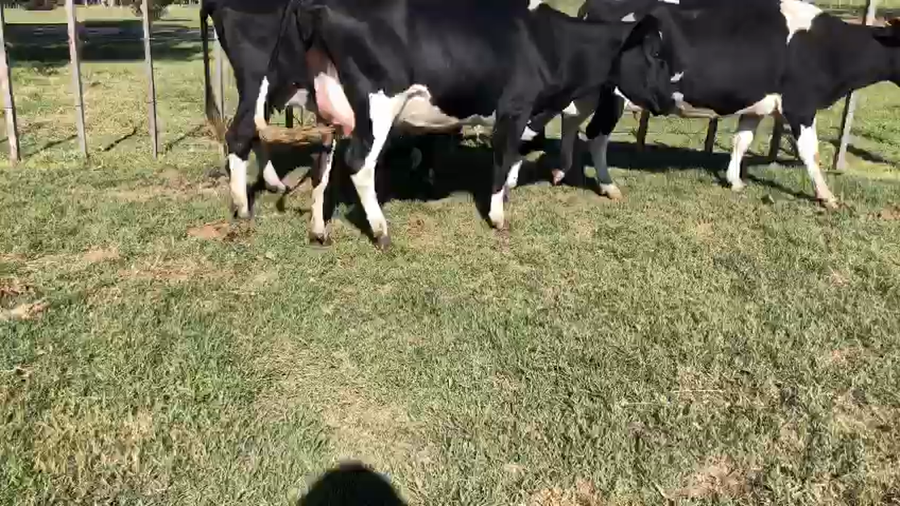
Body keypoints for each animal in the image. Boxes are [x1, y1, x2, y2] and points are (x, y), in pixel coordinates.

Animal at [254, 0, 675, 247]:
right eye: (655, 54)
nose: (668, 99)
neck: (550, 45)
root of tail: (319, 6)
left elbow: (514, 159)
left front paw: (506, 198)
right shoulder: (515, 109)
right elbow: (502, 160)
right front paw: (498, 216)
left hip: (332, 111)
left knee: (321, 164)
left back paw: (319, 230)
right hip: (378, 105)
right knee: (359, 165)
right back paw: (381, 231)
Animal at [531, 0, 900, 208]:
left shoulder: (756, 105)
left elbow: (742, 141)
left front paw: (734, 181)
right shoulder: (800, 104)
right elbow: (811, 152)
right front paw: (827, 197)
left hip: (594, 89)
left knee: (571, 116)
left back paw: (561, 170)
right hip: (616, 95)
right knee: (596, 133)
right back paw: (608, 186)